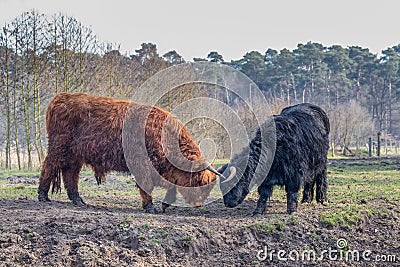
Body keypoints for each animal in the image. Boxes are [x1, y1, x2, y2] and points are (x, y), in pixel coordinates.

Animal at [37, 92, 225, 214]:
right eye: (200, 183)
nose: (199, 204)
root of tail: (61, 97)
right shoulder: (142, 165)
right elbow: (146, 186)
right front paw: (150, 207)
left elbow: (170, 186)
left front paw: (164, 205)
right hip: (59, 148)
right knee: (49, 166)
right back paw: (43, 196)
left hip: (75, 155)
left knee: (70, 174)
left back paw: (78, 200)